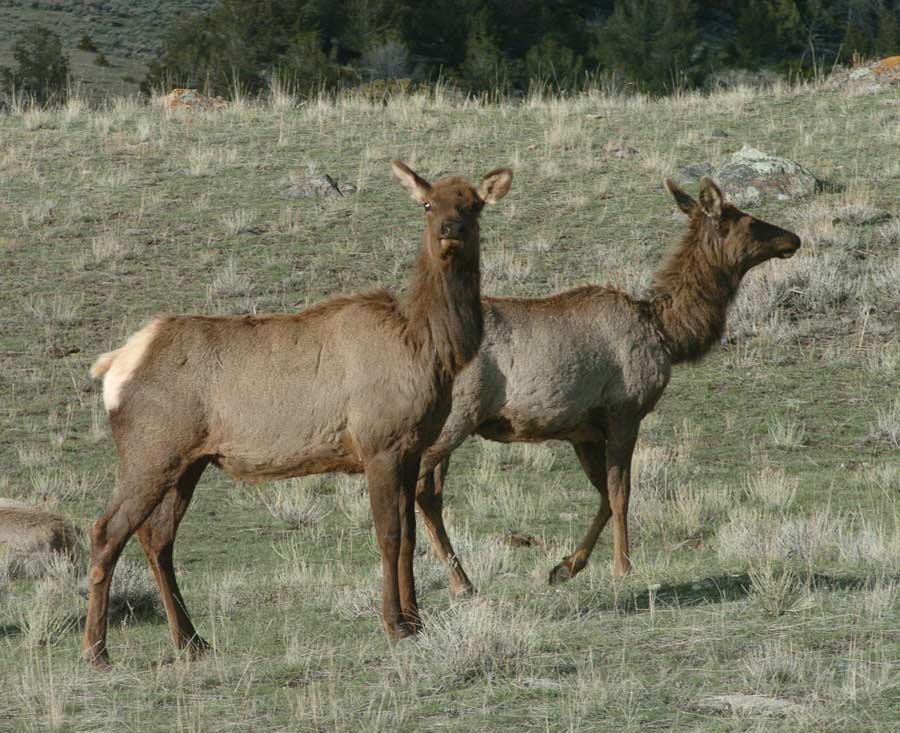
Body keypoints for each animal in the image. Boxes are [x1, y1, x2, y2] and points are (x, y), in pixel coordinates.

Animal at [84, 163, 512, 668]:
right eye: (429, 203)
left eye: (473, 204)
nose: (451, 229)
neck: (430, 347)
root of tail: (113, 365)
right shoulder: (379, 444)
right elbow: (388, 535)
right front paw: (395, 625)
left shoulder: (411, 448)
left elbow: (409, 535)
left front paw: (417, 620)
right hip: (150, 452)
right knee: (107, 531)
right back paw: (96, 650)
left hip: (188, 462)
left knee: (158, 538)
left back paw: (191, 640)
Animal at [414, 179, 800, 596]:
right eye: (748, 221)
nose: (792, 238)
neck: (667, 333)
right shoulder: (625, 411)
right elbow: (621, 492)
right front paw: (621, 566)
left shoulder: (582, 431)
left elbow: (602, 494)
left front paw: (565, 566)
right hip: (456, 418)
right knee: (415, 488)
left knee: (429, 496)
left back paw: (462, 581)